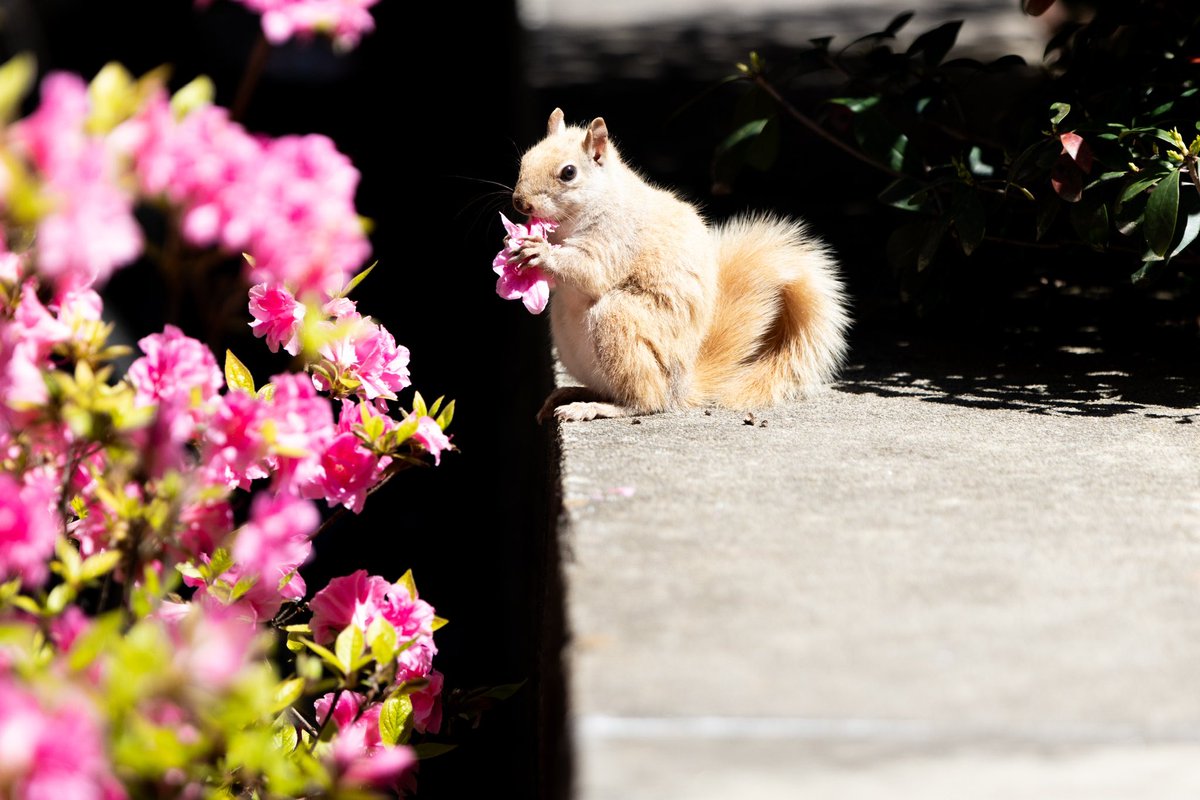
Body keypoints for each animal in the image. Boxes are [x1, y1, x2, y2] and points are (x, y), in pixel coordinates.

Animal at [511, 108, 849, 422]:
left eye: (568, 172)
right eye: (526, 158)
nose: (520, 202)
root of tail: (681, 387)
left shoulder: (616, 236)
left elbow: (592, 270)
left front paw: (541, 252)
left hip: (618, 320)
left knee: (645, 400)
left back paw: (596, 407)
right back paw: (569, 393)